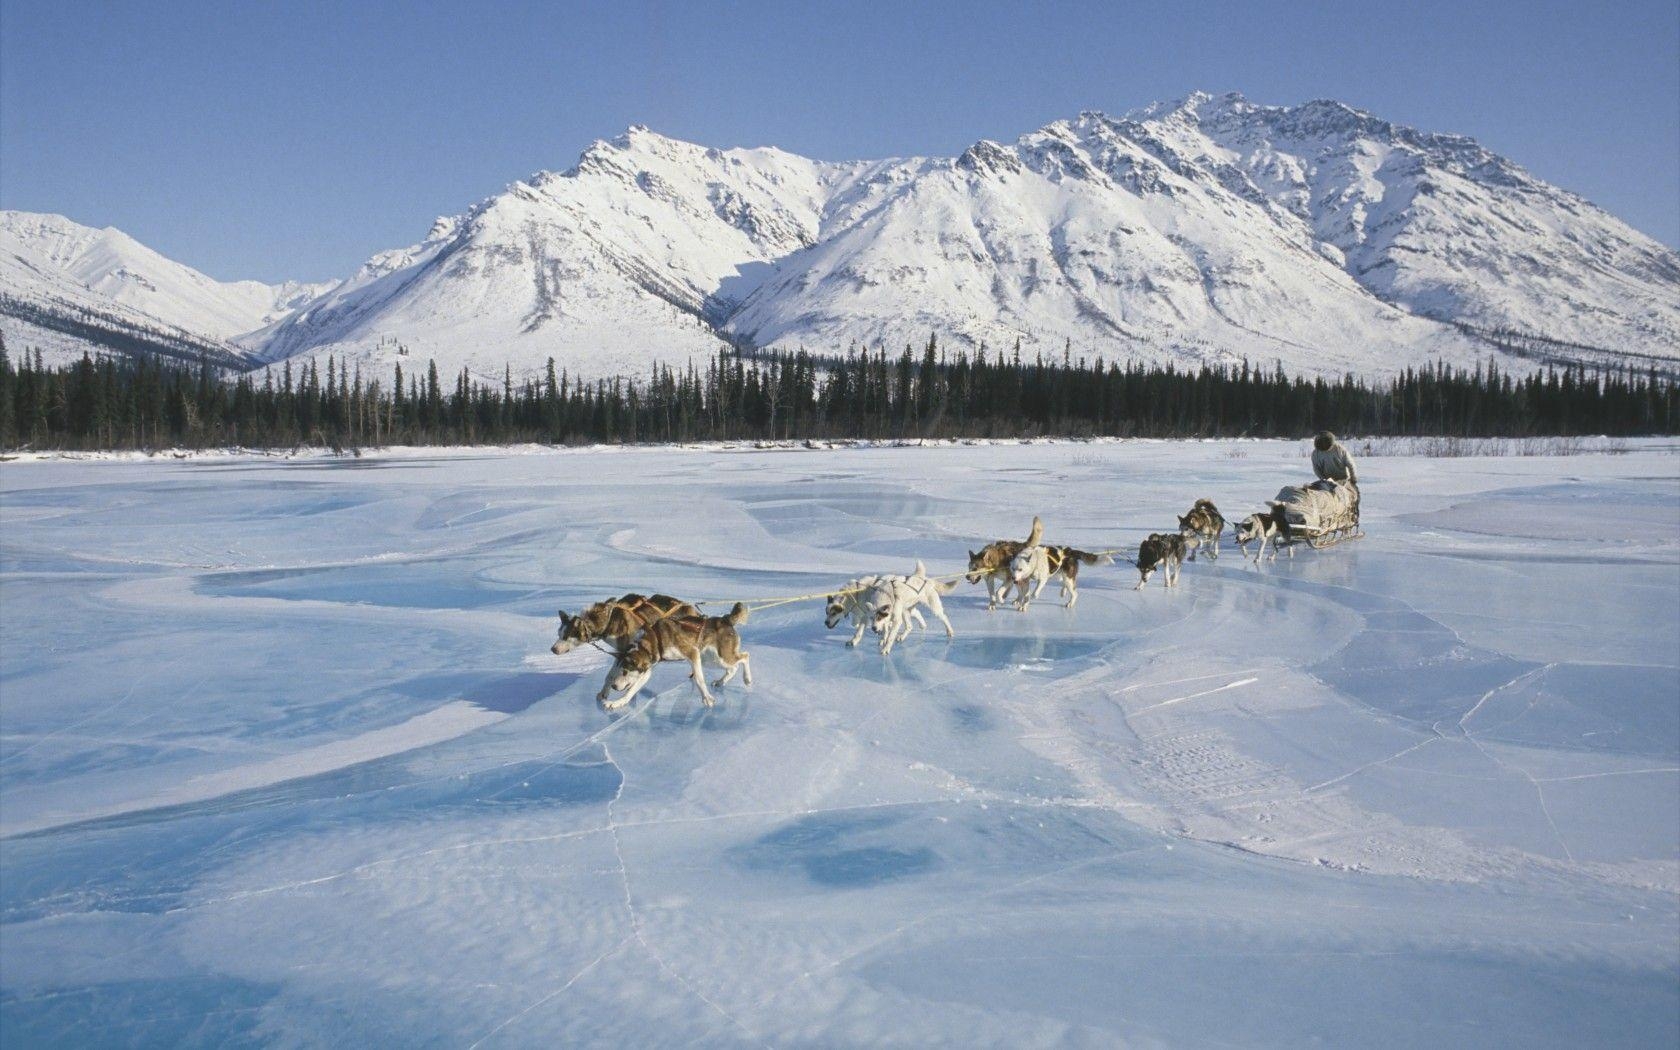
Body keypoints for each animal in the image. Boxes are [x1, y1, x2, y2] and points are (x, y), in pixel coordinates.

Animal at [604, 601, 749, 708]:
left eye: (625, 671)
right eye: (619, 669)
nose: (613, 686)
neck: (656, 638)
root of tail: (725, 619)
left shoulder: (693, 653)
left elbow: (699, 679)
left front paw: (707, 698)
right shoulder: (647, 670)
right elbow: (632, 690)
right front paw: (617, 703)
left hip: (720, 657)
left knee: (745, 656)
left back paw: (747, 678)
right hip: (710, 659)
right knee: (733, 668)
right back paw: (720, 682)